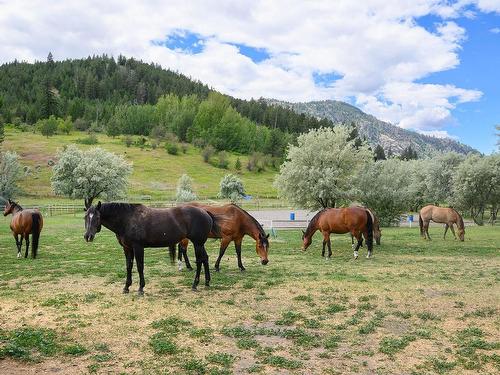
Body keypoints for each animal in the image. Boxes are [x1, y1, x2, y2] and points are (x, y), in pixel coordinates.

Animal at [84, 201, 219, 296]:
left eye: (97, 217)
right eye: (85, 217)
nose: (87, 236)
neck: (127, 220)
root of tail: (205, 212)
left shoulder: (138, 247)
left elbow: (140, 267)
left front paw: (141, 288)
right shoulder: (127, 248)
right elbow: (129, 266)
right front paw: (126, 287)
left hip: (197, 243)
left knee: (200, 261)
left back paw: (195, 284)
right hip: (200, 244)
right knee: (205, 258)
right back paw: (207, 282)